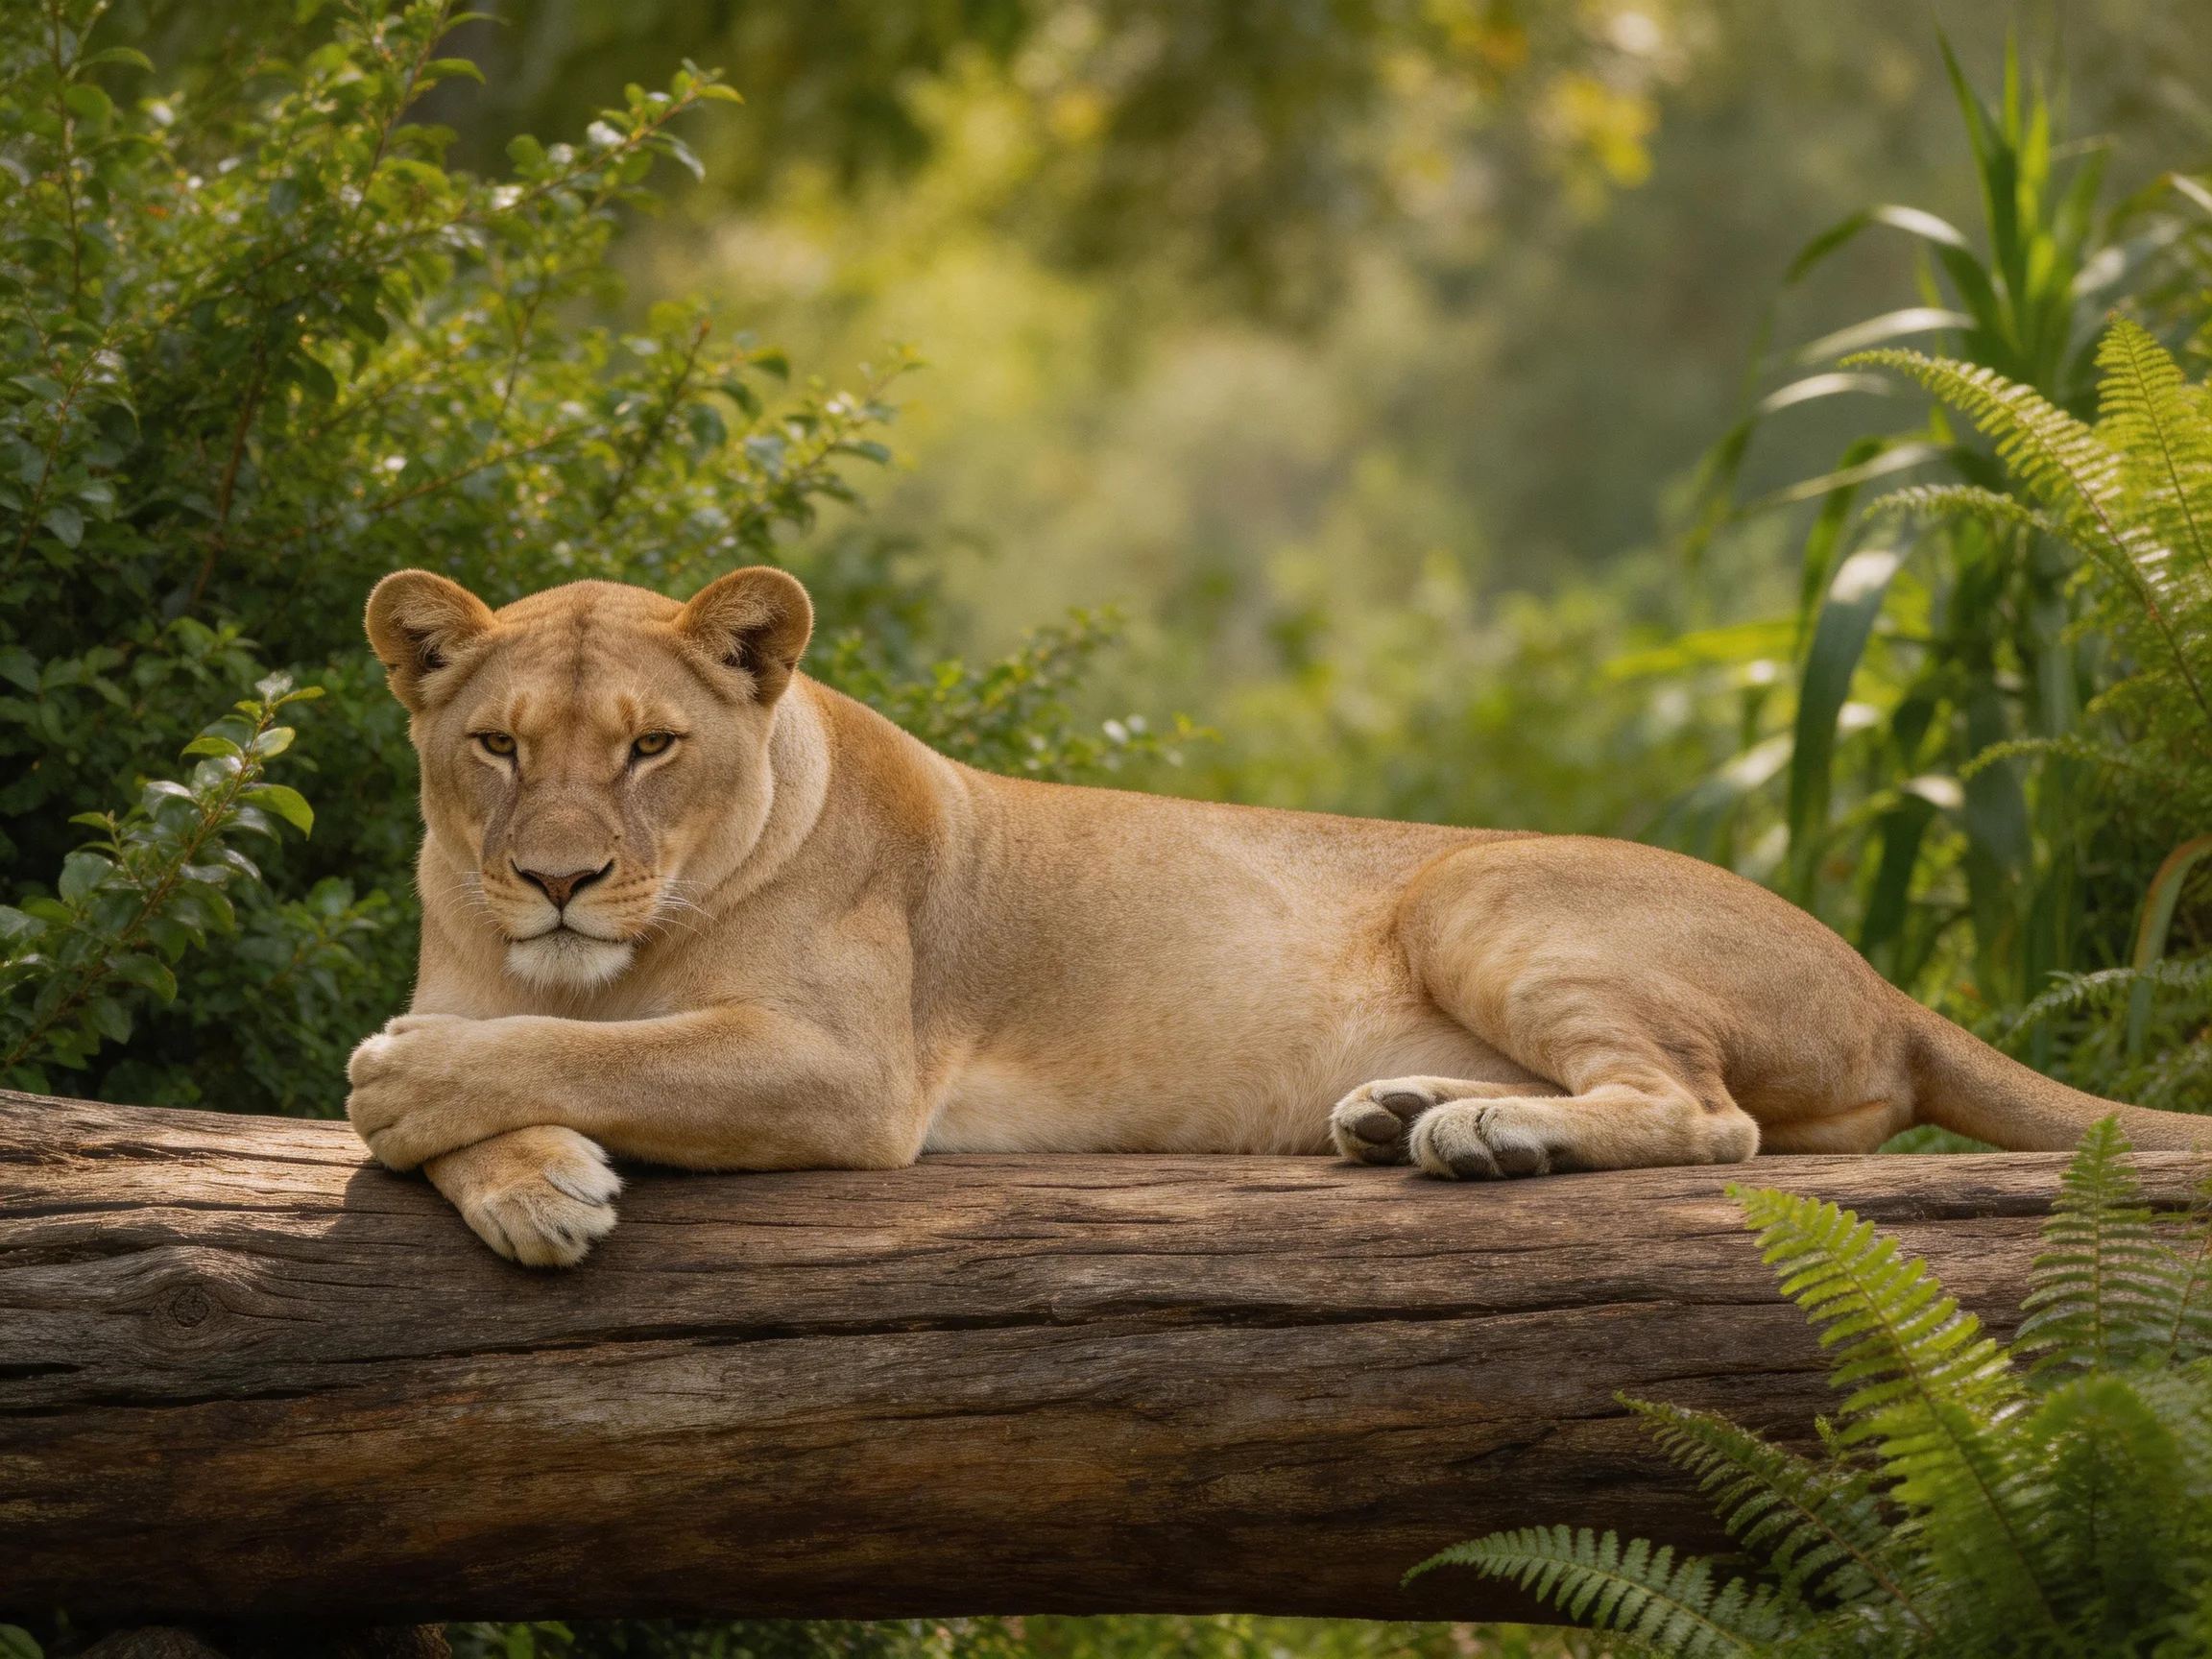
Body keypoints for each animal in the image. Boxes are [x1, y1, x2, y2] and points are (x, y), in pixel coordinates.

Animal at [346, 566, 2207, 1266]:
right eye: (498, 747)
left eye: (649, 750)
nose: (558, 876)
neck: (597, 961)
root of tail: (1880, 980)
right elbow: (511, 1065)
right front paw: (529, 1183)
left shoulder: (846, 1071)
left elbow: (517, 1068)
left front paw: (429, 1092)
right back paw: (1404, 1114)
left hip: (1479, 885)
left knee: (1710, 1116)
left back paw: (1478, 1131)